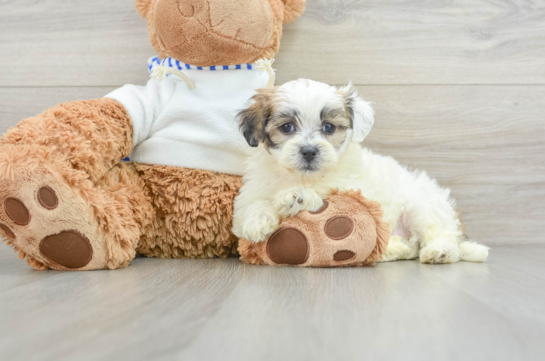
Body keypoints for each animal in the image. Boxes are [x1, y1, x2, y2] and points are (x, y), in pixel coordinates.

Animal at [232, 79, 486, 262]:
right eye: (287, 127)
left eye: (328, 127)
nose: (309, 151)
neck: (302, 177)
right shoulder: (252, 191)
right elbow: (253, 205)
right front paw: (257, 221)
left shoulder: (354, 188)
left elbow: (328, 194)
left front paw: (297, 196)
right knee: (411, 246)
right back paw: (393, 249)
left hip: (423, 207)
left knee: (439, 234)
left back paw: (439, 252)